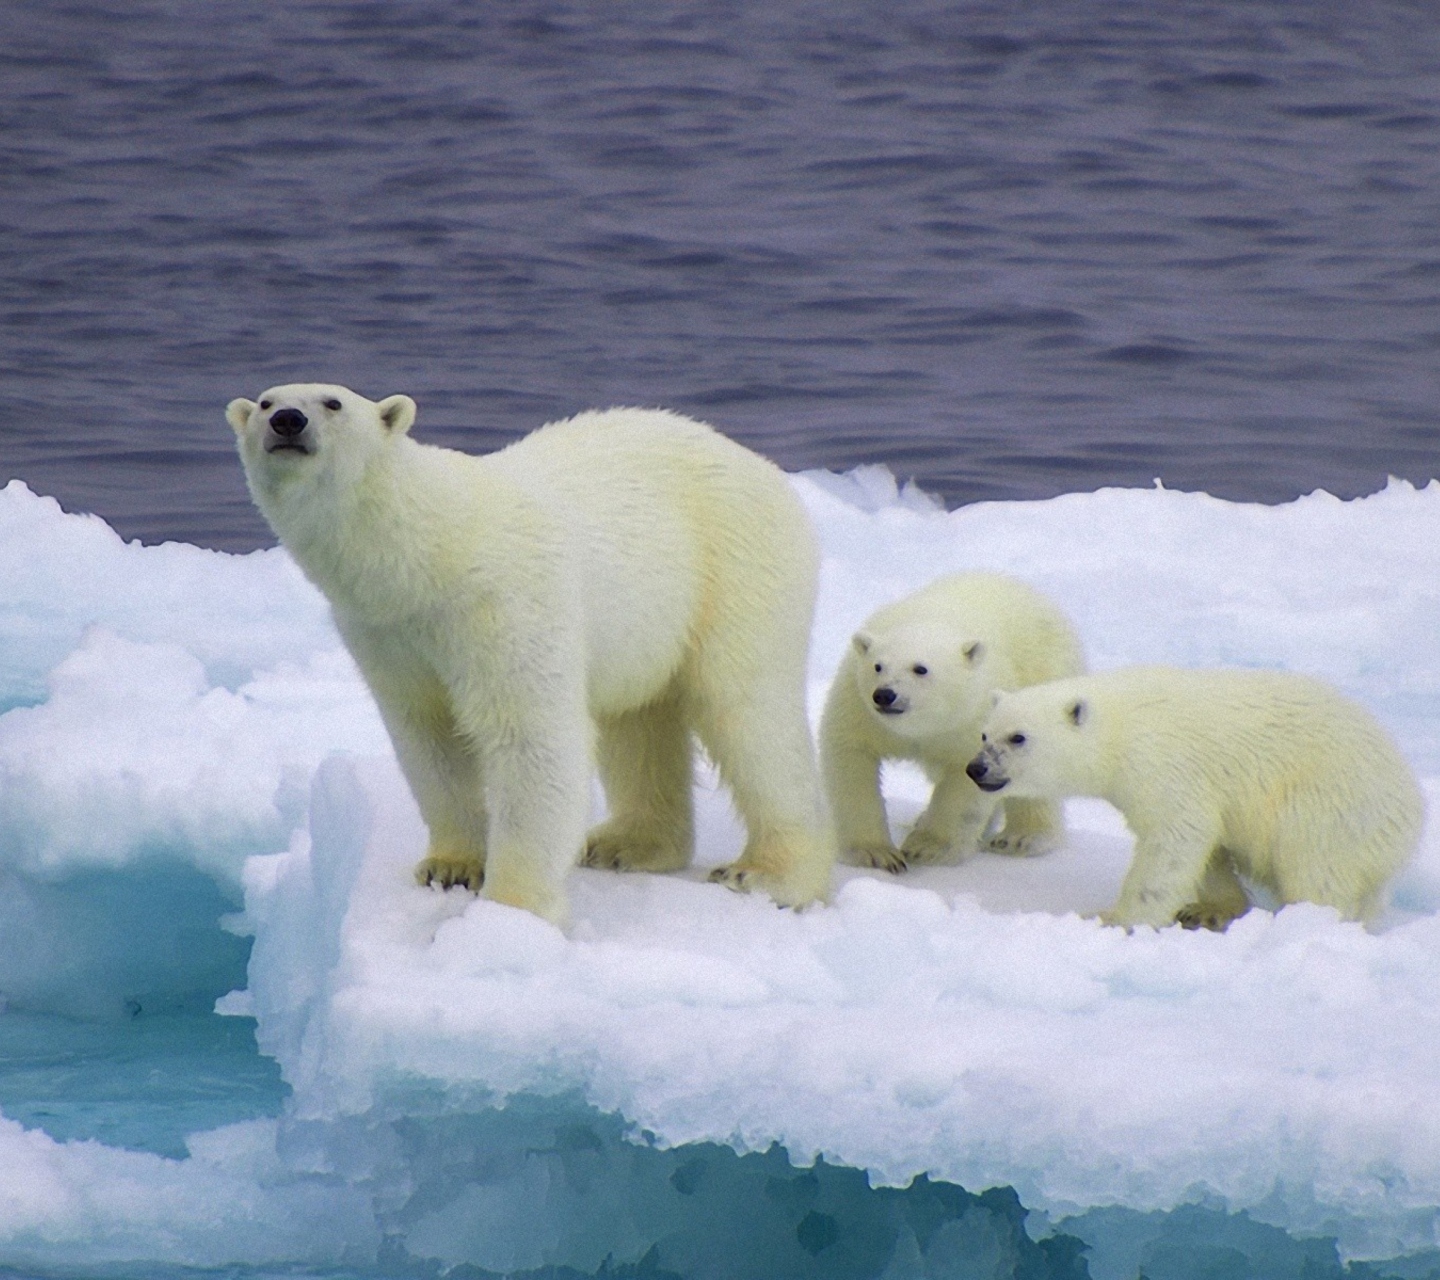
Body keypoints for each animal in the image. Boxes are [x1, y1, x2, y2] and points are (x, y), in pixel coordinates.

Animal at [224, 385, 835, 921]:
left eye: (332, 402)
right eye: (266, 402)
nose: (288, 422)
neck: (432, 551)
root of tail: (765, 469)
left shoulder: (504, 604)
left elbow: (529, 737)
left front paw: (510, 907)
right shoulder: (385, 633)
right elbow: (428, 736)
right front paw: (450, 867)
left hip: (736, 566)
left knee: (746, 711)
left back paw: (768, 874)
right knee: (637, 720)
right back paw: (626, 844)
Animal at [823, 575, 1082, 869]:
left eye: (920, 668)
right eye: (877, 666)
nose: (885, 695)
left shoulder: (974, 714)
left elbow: (966, 779)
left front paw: (925, 847)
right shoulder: (859, 707)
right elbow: (852, 759)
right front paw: (876, 854)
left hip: (1044, 677)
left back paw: (1021, 838)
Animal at [961, 668, 1422, 927]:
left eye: (1017, 737)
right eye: (984, 733)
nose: (975, 769)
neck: (1120, 726)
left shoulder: (1164, 763)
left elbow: (1174, 837)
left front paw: (1113, 918)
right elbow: (1206, 844)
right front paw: (1207, 908)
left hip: (1332, 802)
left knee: (1315, 866)